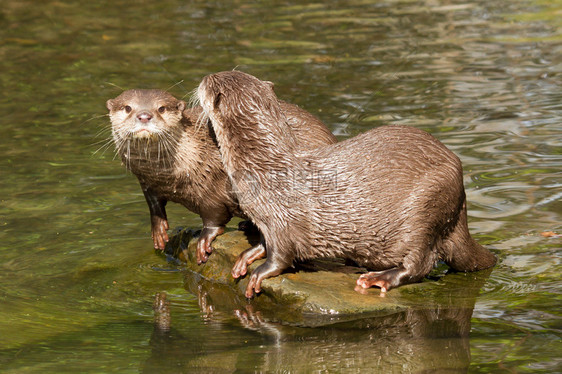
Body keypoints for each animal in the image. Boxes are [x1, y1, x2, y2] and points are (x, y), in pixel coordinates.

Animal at [105, 88, 334, 264]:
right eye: (127, 107)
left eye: (161, 108)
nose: (144, 116)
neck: (166, 174)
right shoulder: (146, 182)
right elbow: (154, 204)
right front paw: (158, 229)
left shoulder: (211, 186)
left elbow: (213, 216)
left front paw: (205, 239)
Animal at [197, 70, 494, 298]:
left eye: (207, 82)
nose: (201, 77)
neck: (264, 166)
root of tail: (461, 191)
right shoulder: (265, 219)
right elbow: (263, 241)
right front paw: (248, 255)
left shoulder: (283, 219)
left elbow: (281, 256)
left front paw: (259, 273)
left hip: (427, 206)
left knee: (421, 262)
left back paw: (379, 278)